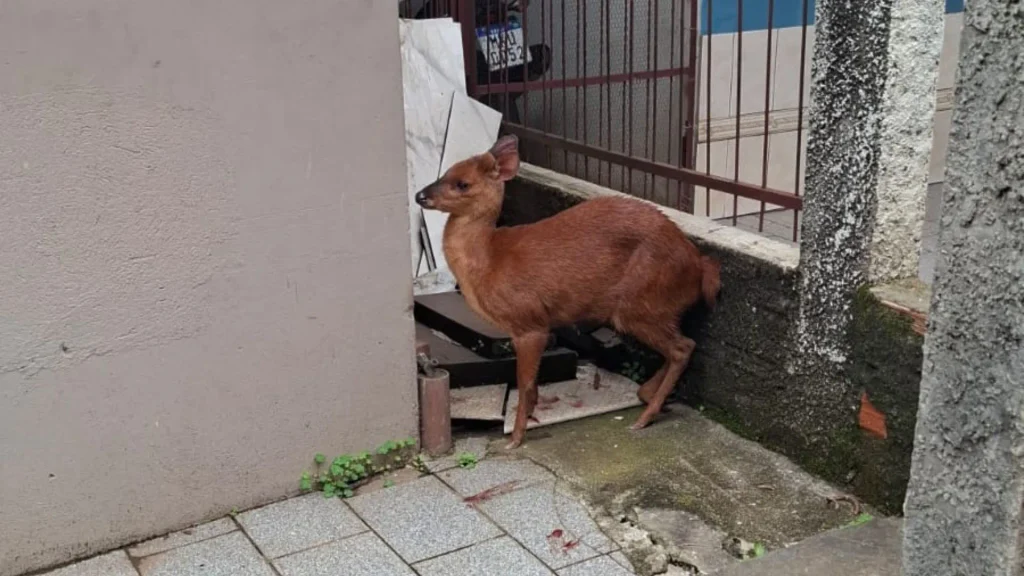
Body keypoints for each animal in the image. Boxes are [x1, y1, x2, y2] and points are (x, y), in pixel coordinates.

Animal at [414, 135, 720, 449]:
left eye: (462, 183)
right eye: (445, 172)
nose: (420, 196)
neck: (489, 260)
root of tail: (700, 266)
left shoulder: (529, 321)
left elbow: (524, 383)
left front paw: (515, 438)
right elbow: (532, 386)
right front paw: (530, 418)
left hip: (642, 302)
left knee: (683, 347)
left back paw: (644, 417)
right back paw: (648, 397)